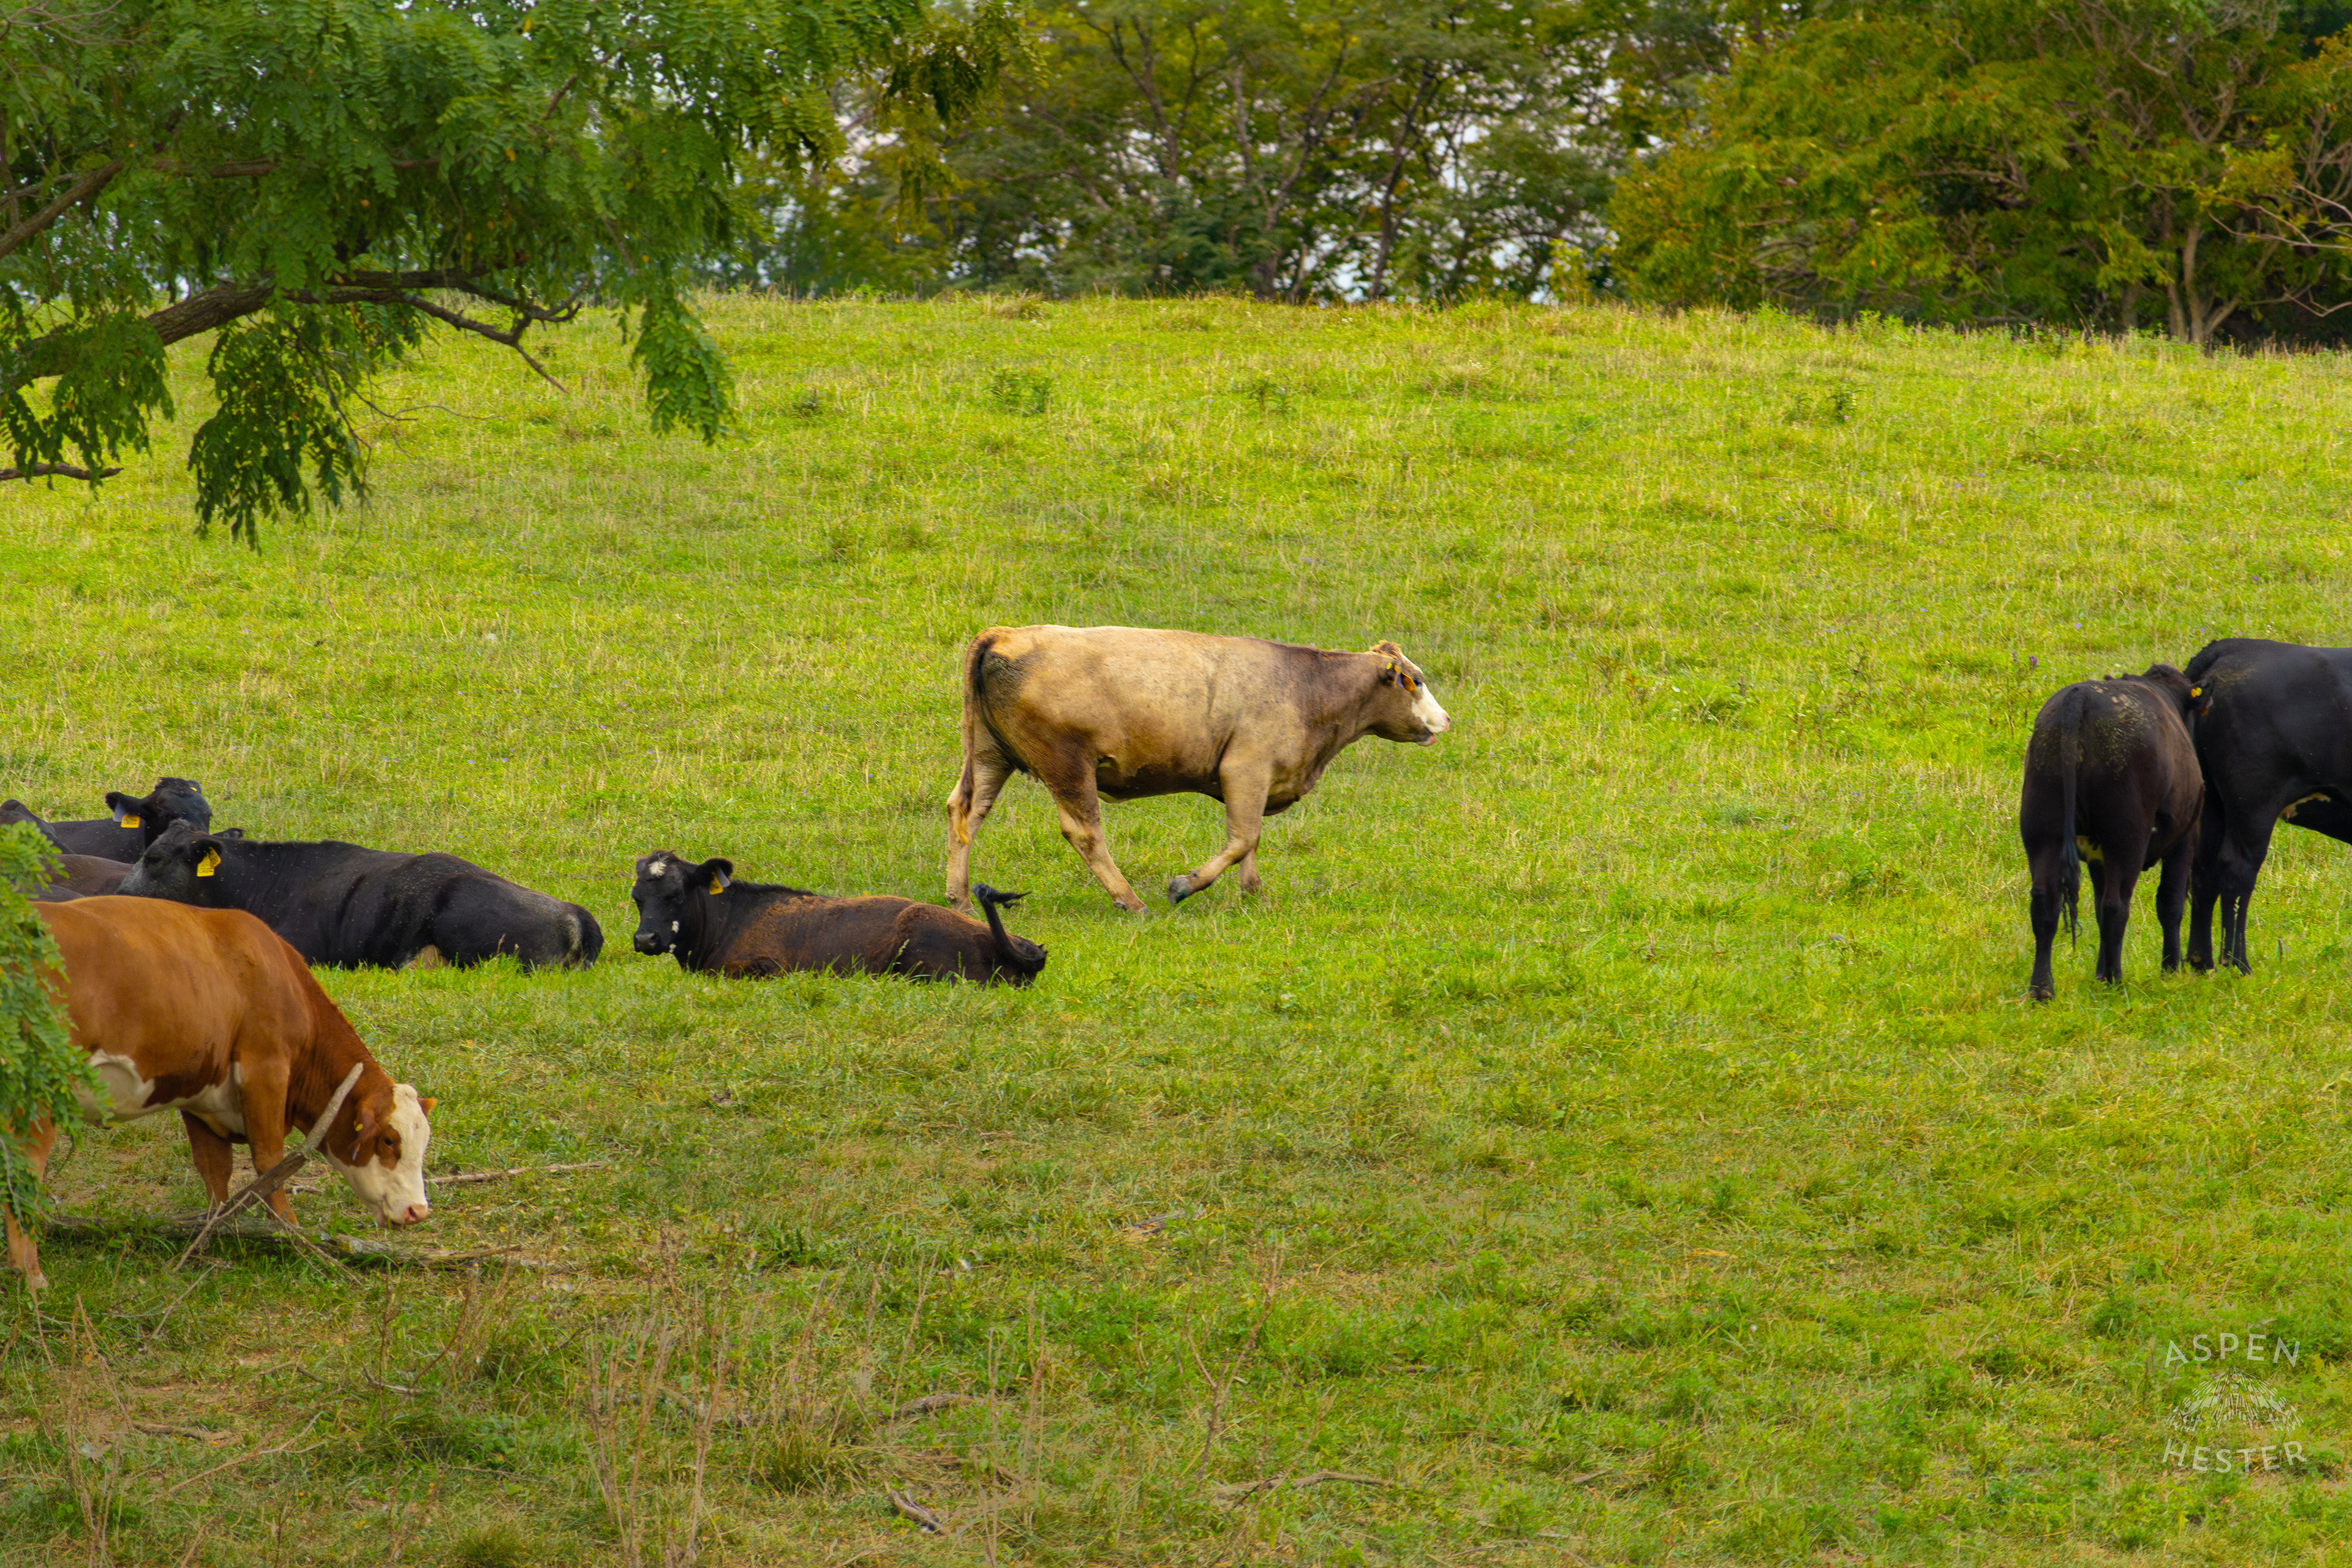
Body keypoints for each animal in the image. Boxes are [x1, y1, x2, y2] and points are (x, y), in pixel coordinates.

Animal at [10, 896, 435, 1292]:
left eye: (423, 1143)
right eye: (388, 1140)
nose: (418, 1212)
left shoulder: (200, 1098)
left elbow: (215, 1171)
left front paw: (214, 1236)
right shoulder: (266, 1071)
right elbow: (270, 1162)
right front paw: (294, 1237)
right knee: (27, 1169)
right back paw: (31, 1276)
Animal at [945, 626, 1452, 913]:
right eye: (1416, 681)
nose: (1446, 720)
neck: (1308, 687)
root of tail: (1003, 634)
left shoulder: (1259, 779)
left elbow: (1250, 841)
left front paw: (1254, 895)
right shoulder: (1246, 768)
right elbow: (1243, 838)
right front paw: (1185, 886)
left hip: (989, 755)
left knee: (965, 812)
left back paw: (959, 896)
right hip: (1066, 762)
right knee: (1084, 832)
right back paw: (1130, 901)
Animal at [2019, 665, 2203, 1000]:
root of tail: (2081, 696)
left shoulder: (2096, 855)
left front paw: (2098, 973)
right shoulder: (2185, 838)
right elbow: (2170, 902)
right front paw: (2171, 970)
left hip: (2042, 826)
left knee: (2045, 902)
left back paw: (2042, 990)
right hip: (2126, 837)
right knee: (2116, 905)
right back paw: (2115, 980)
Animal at [2179, 638, 2352, 973]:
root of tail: (2235, 646)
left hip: (2213, 804)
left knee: (2203, 870)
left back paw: (2202, 962)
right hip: (2253, 804)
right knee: (2236, 872)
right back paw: (2237, 964)